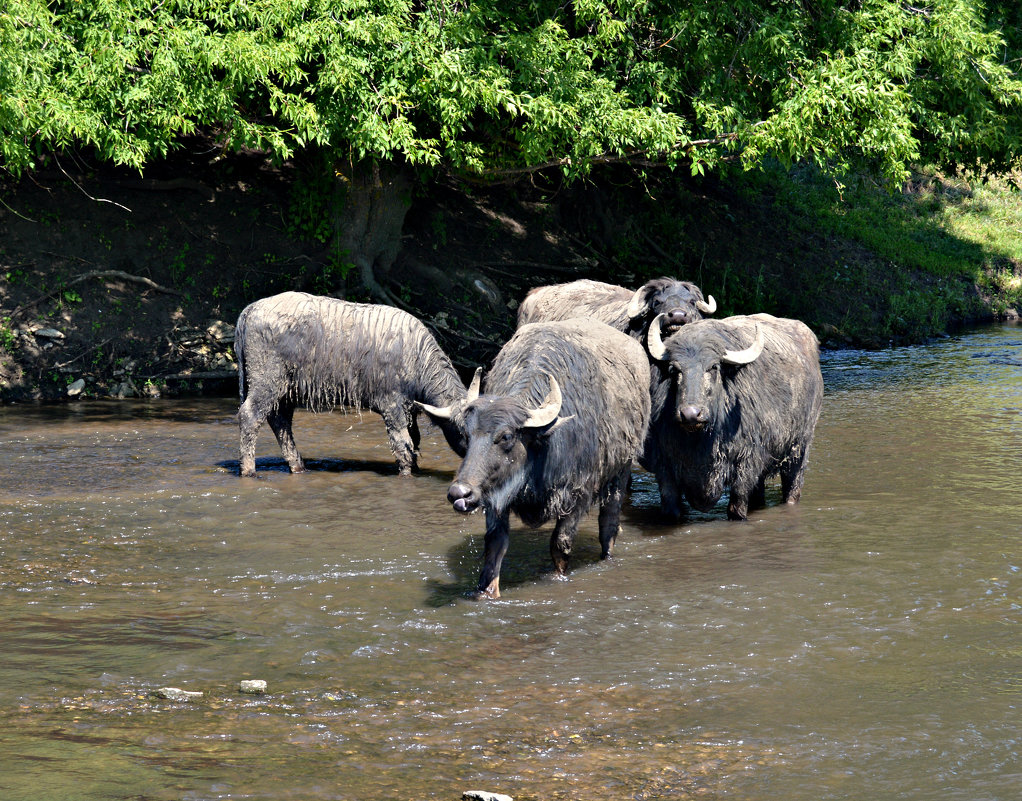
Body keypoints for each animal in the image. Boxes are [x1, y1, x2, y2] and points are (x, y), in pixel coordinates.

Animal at [236, 290, 478, 476]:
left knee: (281, 421)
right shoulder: (392, 407)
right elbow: (403, 445)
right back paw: (249, 470)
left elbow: (415, 441)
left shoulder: (410, 411)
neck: (416, 358)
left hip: (286, 391)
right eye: (465, 433)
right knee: (251, 416)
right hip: (266, 381)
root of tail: (251, 308)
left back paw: (298, 466)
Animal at [419, 318, 649, 600]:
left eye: (506, 436)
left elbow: (560, 544)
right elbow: (495, 545)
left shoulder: (577, 494)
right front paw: (487, 592)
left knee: (609, 523)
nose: (459, 493)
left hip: (621, 471)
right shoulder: (496, 496)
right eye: (465, 434)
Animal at [641, 312, 825, 519]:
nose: (691, 414)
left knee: (792, 485)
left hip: (799, 448)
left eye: (713, 367)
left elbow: (736, 508)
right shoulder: (665, 466)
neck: (701, 439)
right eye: (675, 369)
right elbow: (671, 508)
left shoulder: (746, 462)